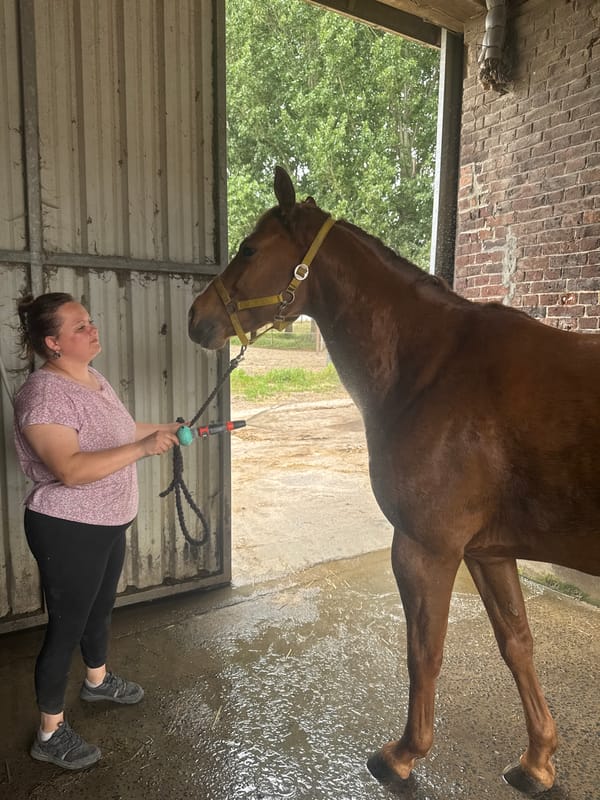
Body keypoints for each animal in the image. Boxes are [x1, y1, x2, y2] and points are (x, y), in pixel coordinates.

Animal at [188, 166, 600, 796]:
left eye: (249, 249)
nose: (195, 319)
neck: (433, 368)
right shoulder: (487, 552)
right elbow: (517, 644)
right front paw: (537, 761)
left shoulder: (425, 549)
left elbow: (423, 652)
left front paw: (404, 754)